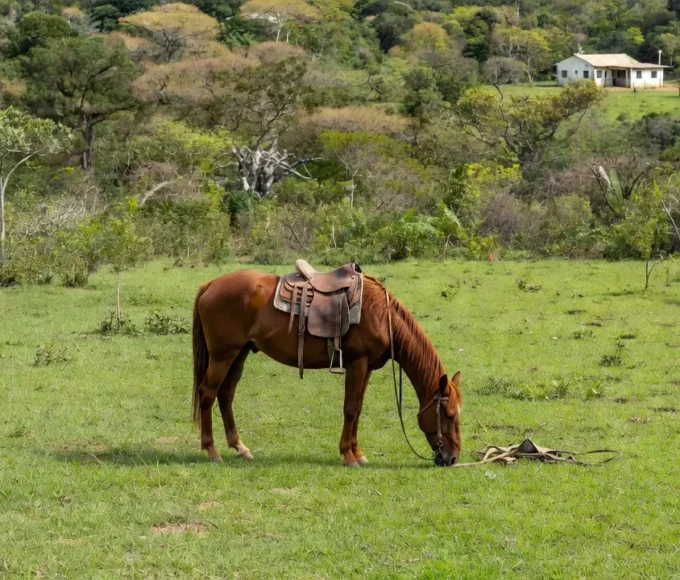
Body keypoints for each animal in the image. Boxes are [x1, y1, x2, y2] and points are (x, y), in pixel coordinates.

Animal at [191, 268, 462, 467]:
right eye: (448, 414)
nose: (452, 459)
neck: (382, 316)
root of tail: (210, 284)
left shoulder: (367, 367)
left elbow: (358, 409)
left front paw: (358, 452)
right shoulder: (357, 363)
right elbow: (350, 409)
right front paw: (349, 455)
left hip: (239, 354)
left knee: (226, 395)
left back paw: (240, 447)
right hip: (223, 355)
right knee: (208, 394)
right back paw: (211, 450)